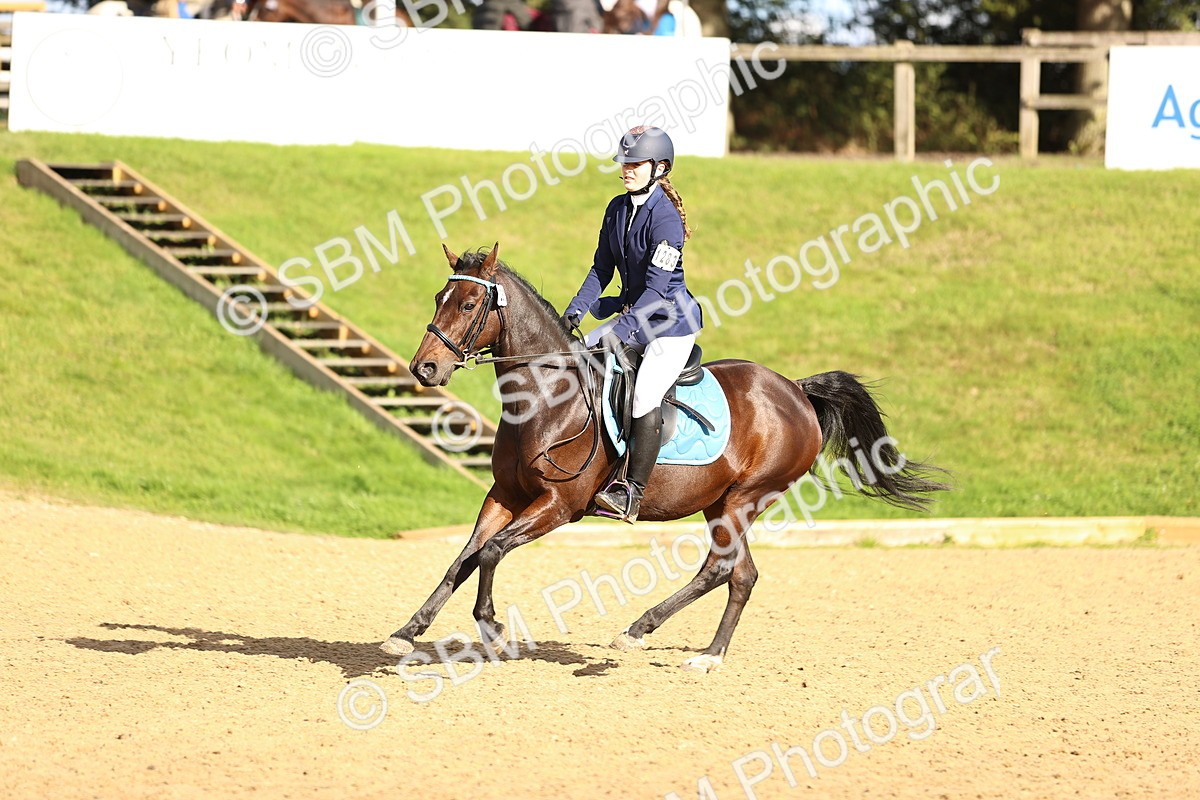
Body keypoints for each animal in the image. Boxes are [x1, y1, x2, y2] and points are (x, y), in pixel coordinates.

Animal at [380, 243, 949, 672]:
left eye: (469, 305)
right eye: (440, 297)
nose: (424, 368)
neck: (546, 397)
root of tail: (796, 390)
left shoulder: (559, 505)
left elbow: (493, 553)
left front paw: (494, 627)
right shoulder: (504, 495)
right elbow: (465, 558)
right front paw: (407, 631)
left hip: (745, 498)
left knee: (721, 568)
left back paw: (656, 637)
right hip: (723, 502)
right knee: (740, 574)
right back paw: (693, 647)